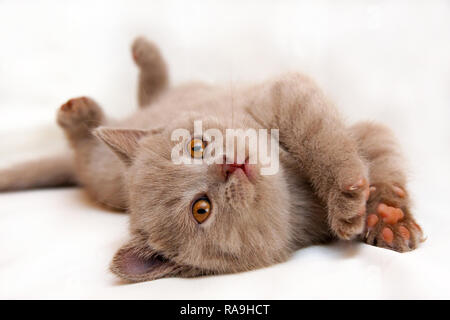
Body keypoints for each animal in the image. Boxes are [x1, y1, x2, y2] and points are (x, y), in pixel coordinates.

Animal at [0, 38, 424, 282]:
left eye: (195, 147)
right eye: (201, 209)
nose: (230, 165)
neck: (295, 191)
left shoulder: (287, 96)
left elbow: (338, 138)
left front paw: (387, 218)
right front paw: (351, 202)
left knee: (152, 95)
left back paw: (135, 62)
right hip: (103, 176)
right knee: (84, 152)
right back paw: (77, 116)